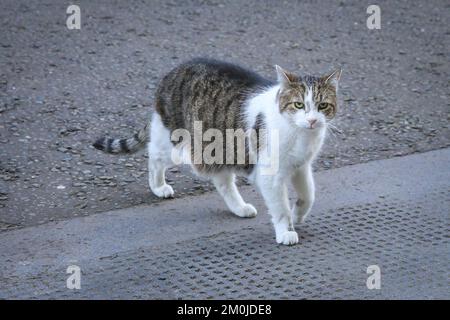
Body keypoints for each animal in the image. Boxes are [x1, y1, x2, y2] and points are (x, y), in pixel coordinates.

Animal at [95, 58, 342, 245]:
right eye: (299, 105)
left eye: (322, 106)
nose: (312, 120)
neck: (301, 135)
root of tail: (173, 72)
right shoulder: (270, 175)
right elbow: (280, 208)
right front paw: (286, 231)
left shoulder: (301, 166)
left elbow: (309, 194)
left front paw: (298, 213)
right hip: (180, 144)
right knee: (155, 155)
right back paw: (158, 187)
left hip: (221, 150)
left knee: (222, 182)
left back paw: (240, 208)